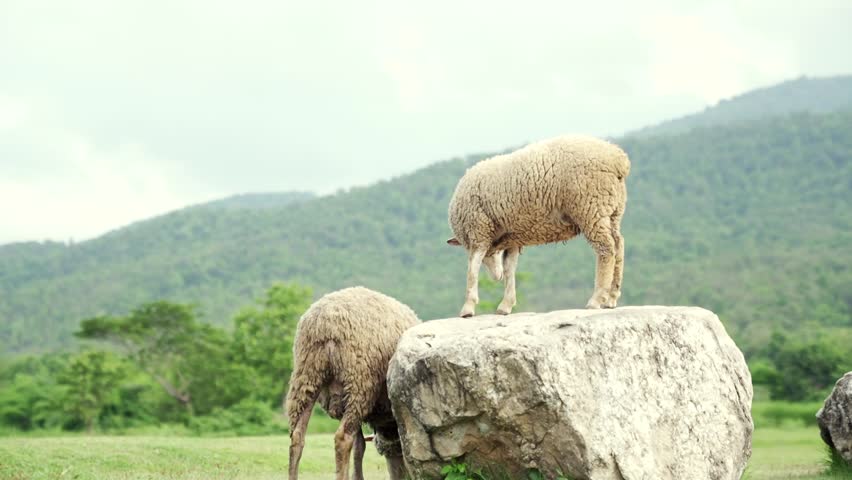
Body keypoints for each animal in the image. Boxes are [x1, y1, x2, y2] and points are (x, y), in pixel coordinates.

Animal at [285, 286, 420, 480]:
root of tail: (325, 324)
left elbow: (359, 447)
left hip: (306, 377)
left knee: (297, 437)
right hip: (359, 383)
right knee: (342, 438)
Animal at [446, 134, 630, 317]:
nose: (496, 277)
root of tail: (618, 159)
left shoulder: (479, 231)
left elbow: (472, 270)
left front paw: (468, 308)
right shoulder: (512, 239)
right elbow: (509, 269)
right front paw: (506, 305)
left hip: (591, 208)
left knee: (606, 249)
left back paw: (597, 299)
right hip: (612, 210)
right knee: (618, 245)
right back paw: (612, 297)